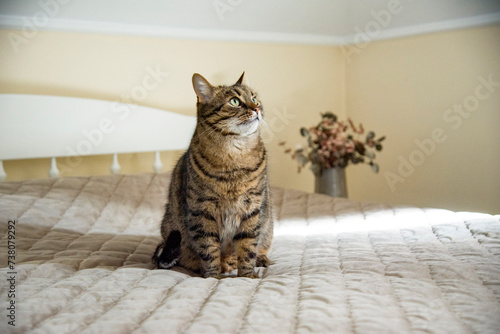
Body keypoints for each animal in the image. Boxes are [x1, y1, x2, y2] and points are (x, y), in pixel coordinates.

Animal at [154, 72, 276, 280]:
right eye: (235, 101)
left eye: (254, 98)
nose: (257, 108)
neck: (235, 156)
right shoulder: (202, 210)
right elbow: (209, 249)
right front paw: (213, 277)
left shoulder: (252, 208)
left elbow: (247, 247)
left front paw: (248, 276)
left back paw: (257, 259)